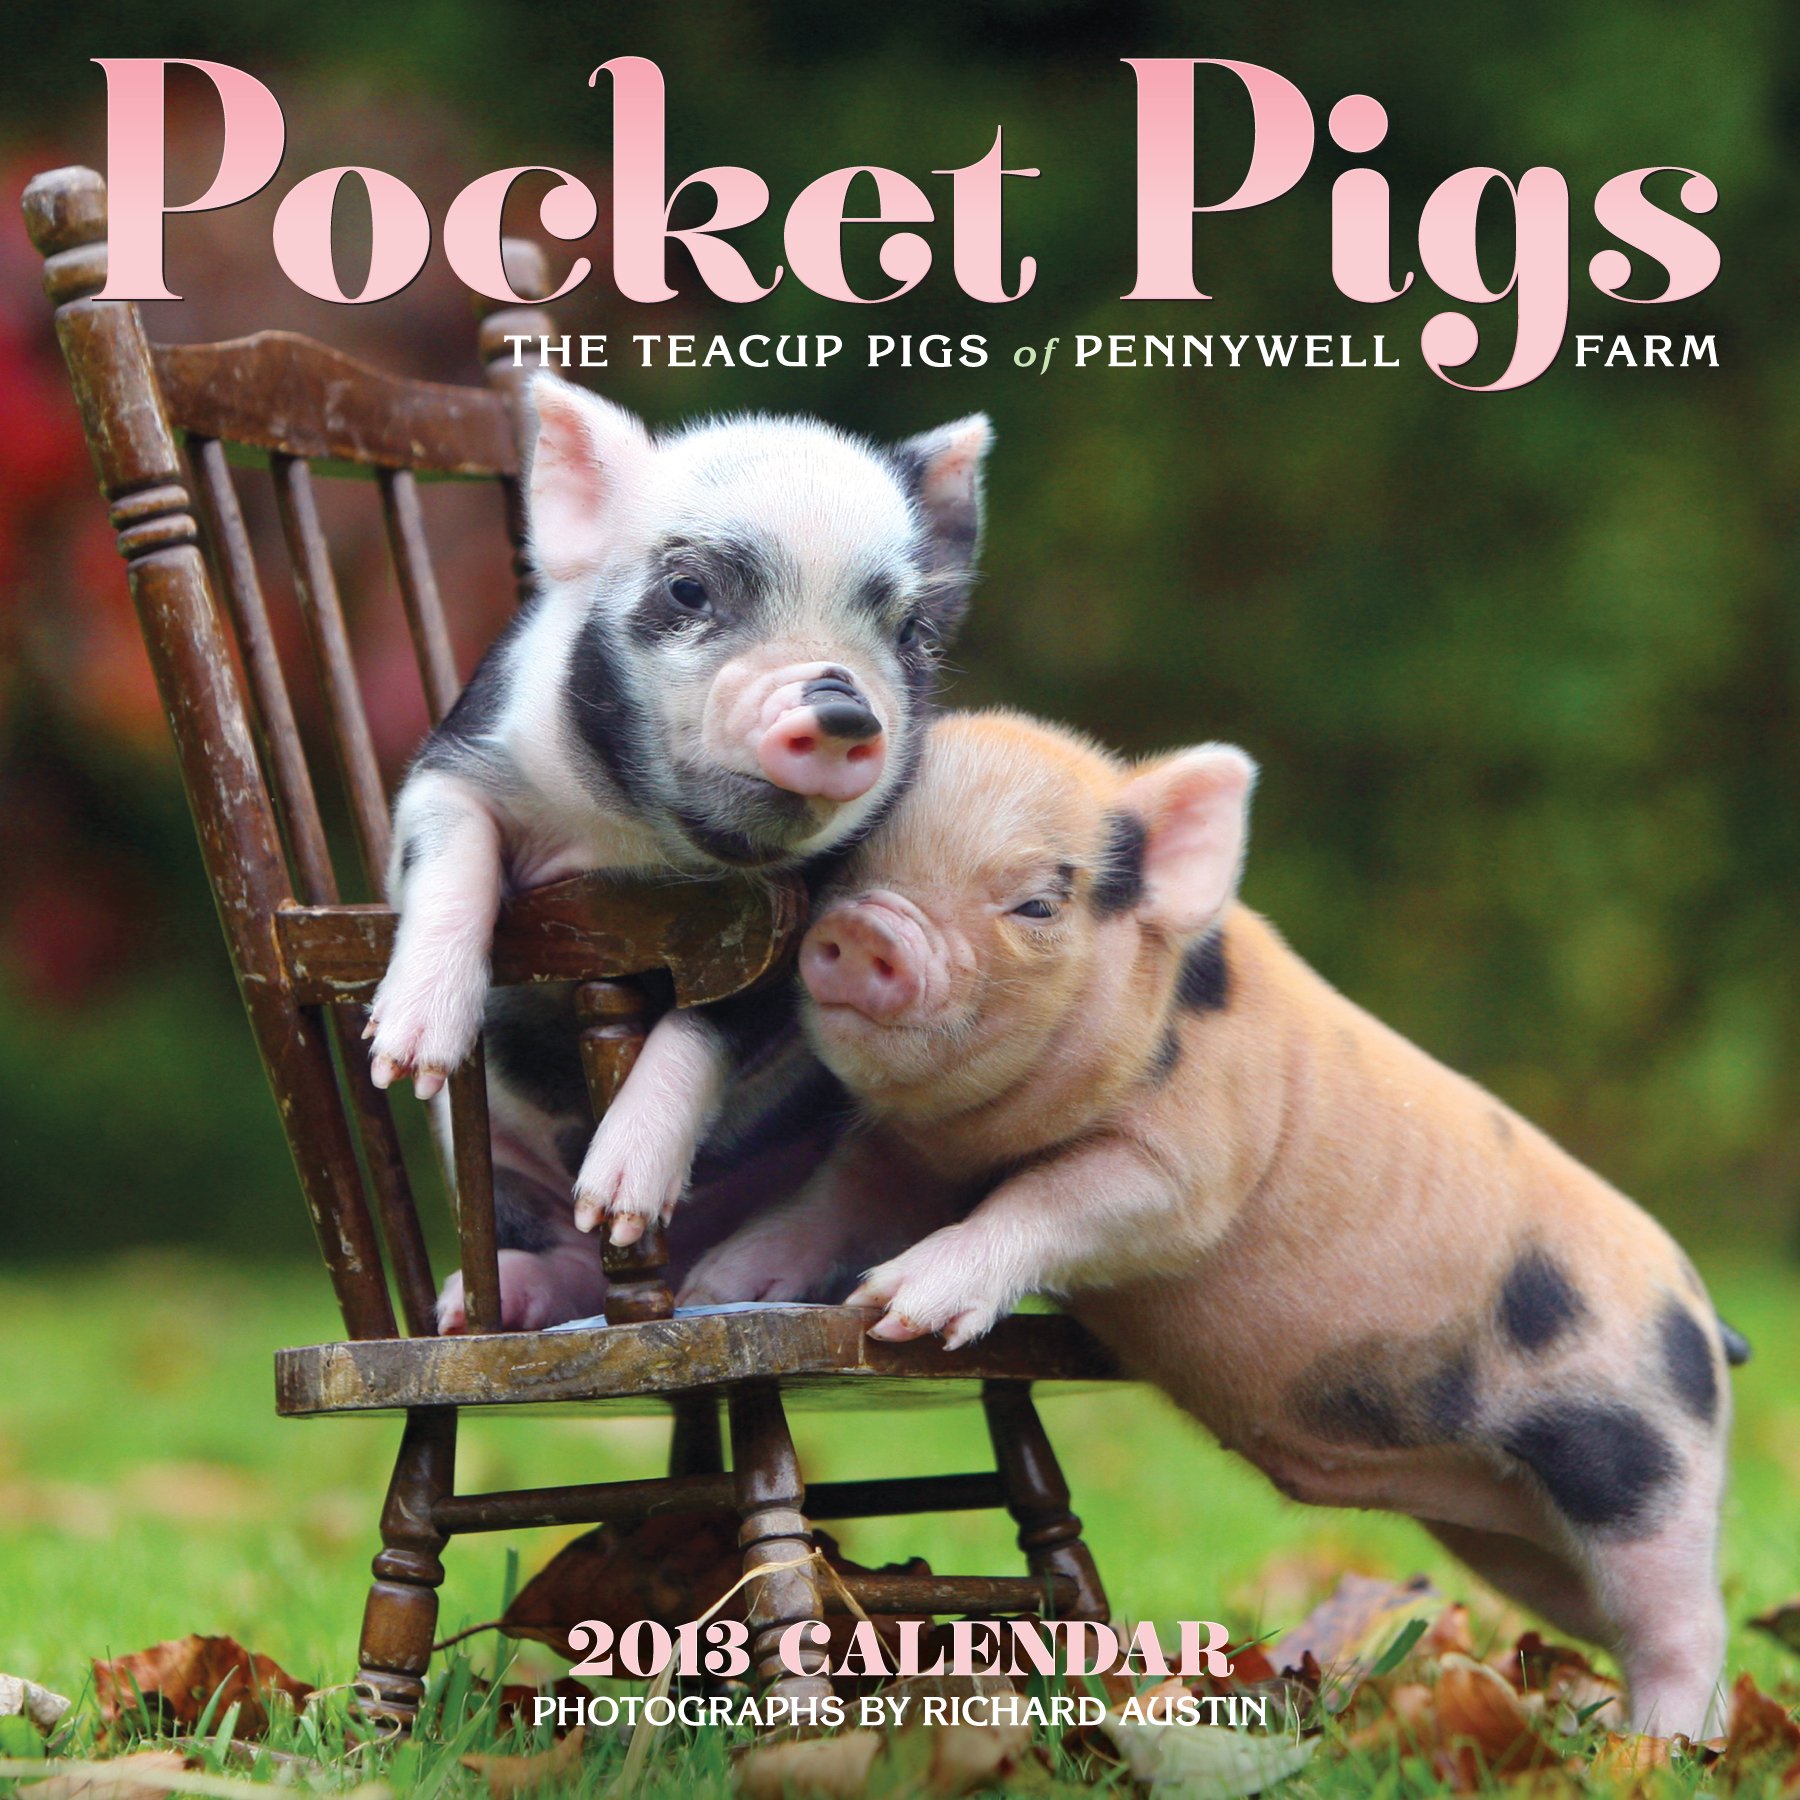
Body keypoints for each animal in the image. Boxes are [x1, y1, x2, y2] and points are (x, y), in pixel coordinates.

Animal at [364, 372, 991, 1330]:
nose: (842, 708)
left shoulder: (809, 921)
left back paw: (722, 1286)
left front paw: (619, 1200)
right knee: (554, 1249)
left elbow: (710, 1026)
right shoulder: (459, 762)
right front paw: (403, 1055)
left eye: (910, 629)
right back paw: (476, 1308)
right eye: (689, 591)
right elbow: (452, 858)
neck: (642, 844)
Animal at [682, 709, 1745, 1739]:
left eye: (1037, 904)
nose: (867, 928)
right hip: (1517, 1541)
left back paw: (1655, 1743)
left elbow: (1047, 1199)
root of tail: (1707, 1320)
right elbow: (831, 1202)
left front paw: (902, 1309)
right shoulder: (903, 1162)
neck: (981, 1134)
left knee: (1685, 1618)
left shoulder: (1189, 1166)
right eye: (843, 873)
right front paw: (717, 1287)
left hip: (1635, 1460)